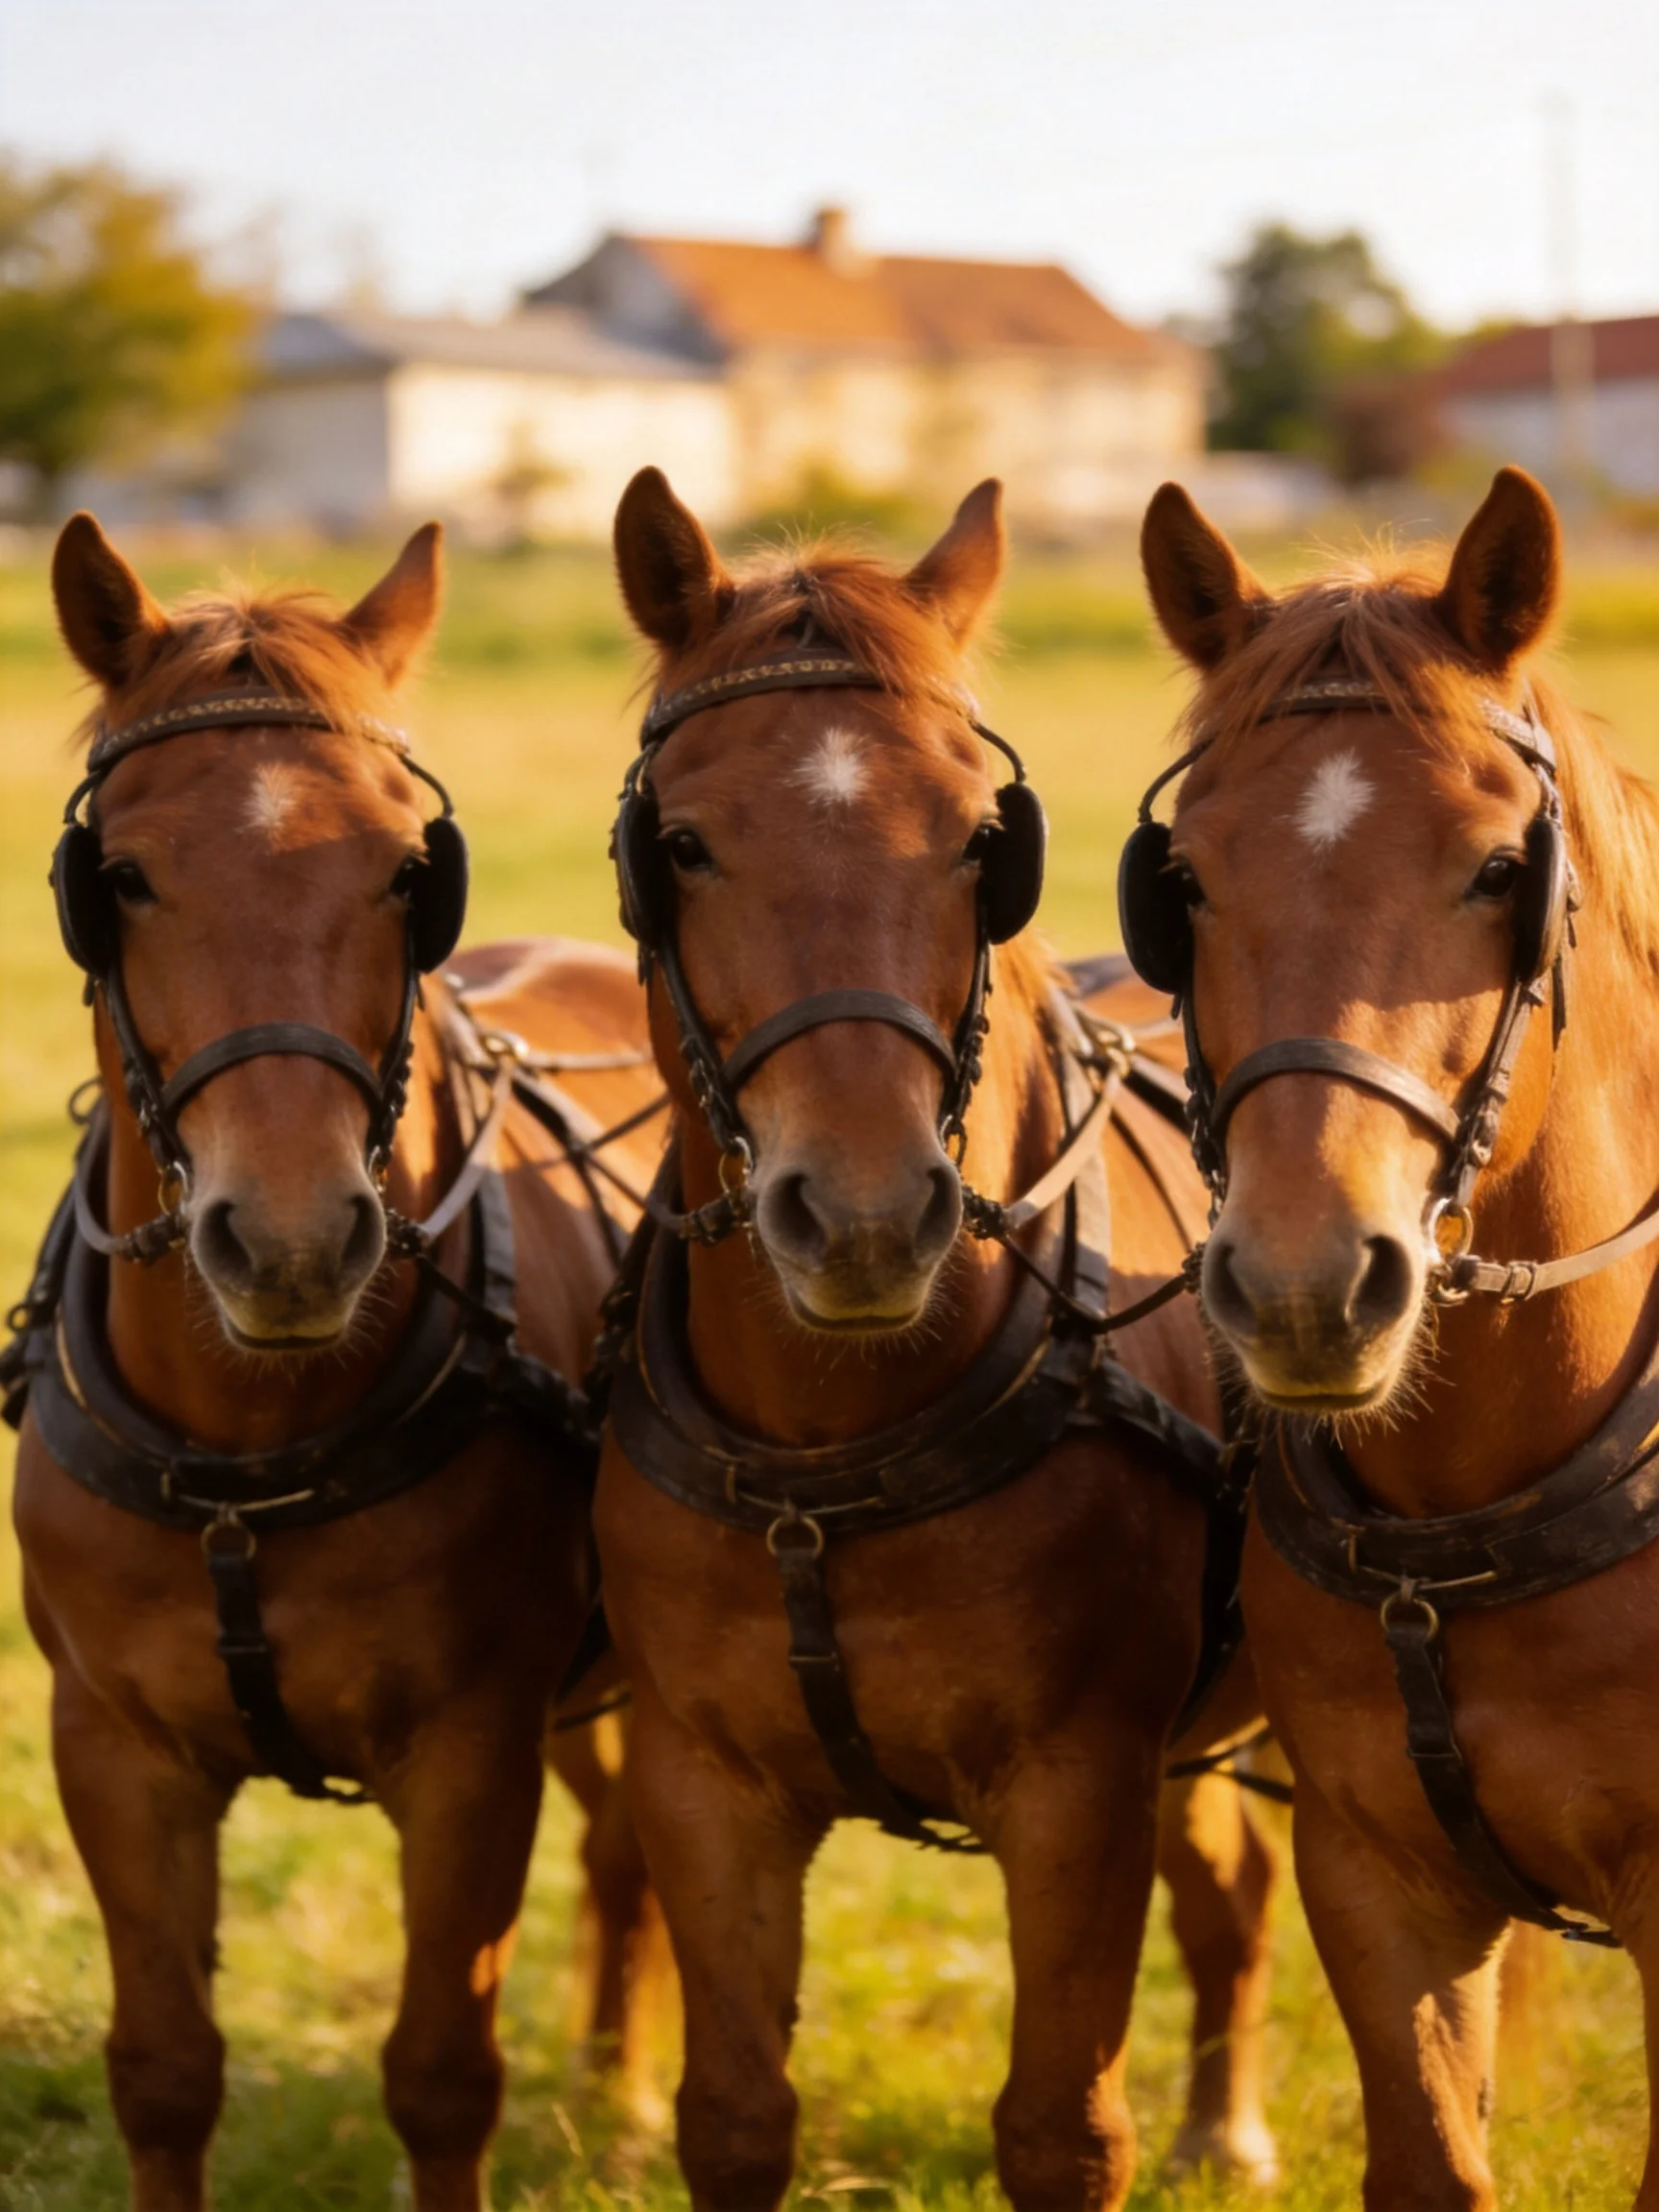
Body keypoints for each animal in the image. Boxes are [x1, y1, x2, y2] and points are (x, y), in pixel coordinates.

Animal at [3, 517, 666, 2212]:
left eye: (407, 871)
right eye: (119, 877)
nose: (295, 1242)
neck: (249, 1442)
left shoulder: (473, 1749)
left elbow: (439, 2073)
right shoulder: (114, 1749)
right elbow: (165, 2074)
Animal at [588, 466, 1280, 2212]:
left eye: (983, 842)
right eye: (680, 843)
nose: (865, 1217)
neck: (823, 1443)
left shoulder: (1080, 1783)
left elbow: (1058, 2127)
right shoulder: (704, 1781)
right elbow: (734, 2112)